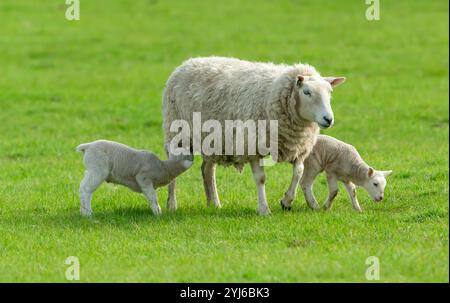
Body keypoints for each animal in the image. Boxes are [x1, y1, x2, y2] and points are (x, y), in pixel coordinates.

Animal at [163, 55, 346, 215]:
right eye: (307, 92)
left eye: (330, 92)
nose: (328, 119)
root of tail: (188, 62)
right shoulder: (253, 146)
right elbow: (261, 179)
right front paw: (264, 209)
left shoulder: (299, 147)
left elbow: (298, 172)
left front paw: (286, 201)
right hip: (176, 133)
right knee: (174, 167)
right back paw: (171, 205)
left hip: (212, 140)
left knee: (207, 170)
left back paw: (214, 204)